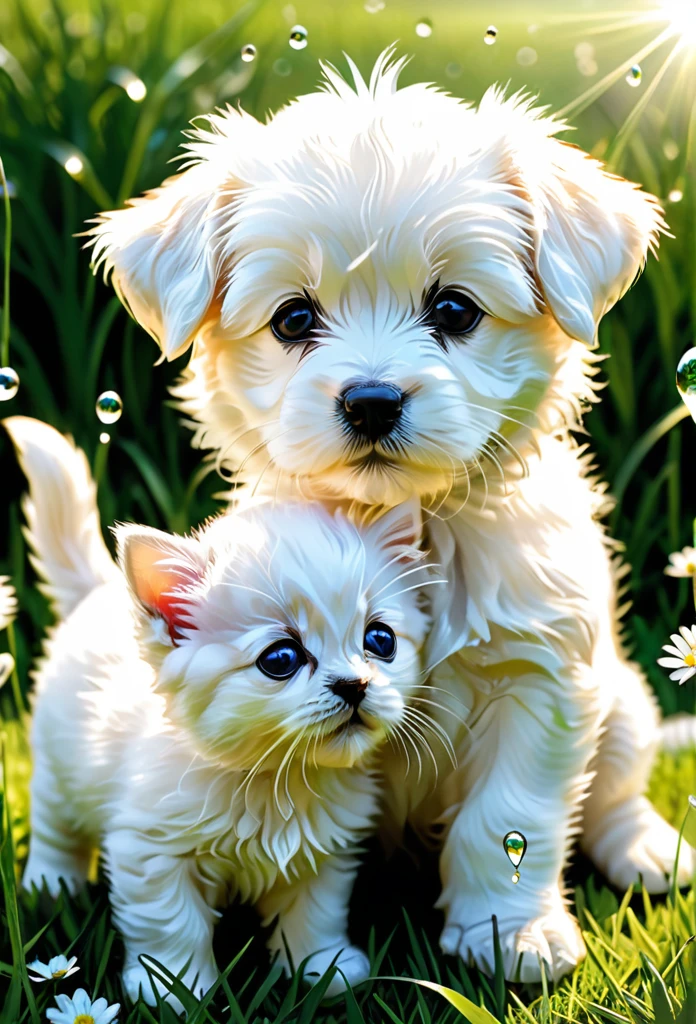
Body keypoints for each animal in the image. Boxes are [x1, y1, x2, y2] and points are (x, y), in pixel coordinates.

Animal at [5, 411, 431, 1003]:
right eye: (281, 658)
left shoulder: (324, 853)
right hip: (57, 768)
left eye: (381, 641)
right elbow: (173, 926)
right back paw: (52, 885)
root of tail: (97, 590)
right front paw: (173, 990)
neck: (274, 779)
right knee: (54, 828)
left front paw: (324, 970)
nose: (355, 685)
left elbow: (315, 915)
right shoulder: (150, 851)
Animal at [88, 51, 691, 978]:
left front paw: (508, 933)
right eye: (294, 317)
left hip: (619, 699)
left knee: (620, 787)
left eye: (455, 310)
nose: (371, 401)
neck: (420, 518)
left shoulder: (542, 681)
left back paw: (647, 850)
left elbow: (509, 822)